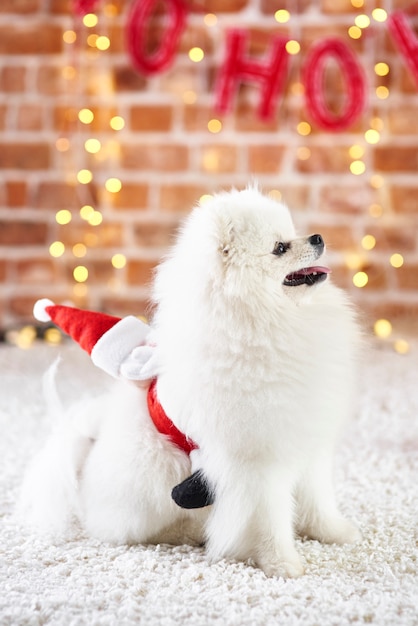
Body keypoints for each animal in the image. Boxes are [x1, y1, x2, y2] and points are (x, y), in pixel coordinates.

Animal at [18, 184, 360, 576]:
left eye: (293, 232)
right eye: (280, 247)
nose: (318, 237)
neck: (266, 321)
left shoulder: (306, 443)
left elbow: (318, 499)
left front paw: (333, 533)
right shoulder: (256, 464)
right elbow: (269, 519)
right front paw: (282, 563)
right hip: (154, 479)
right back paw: (189, 532)